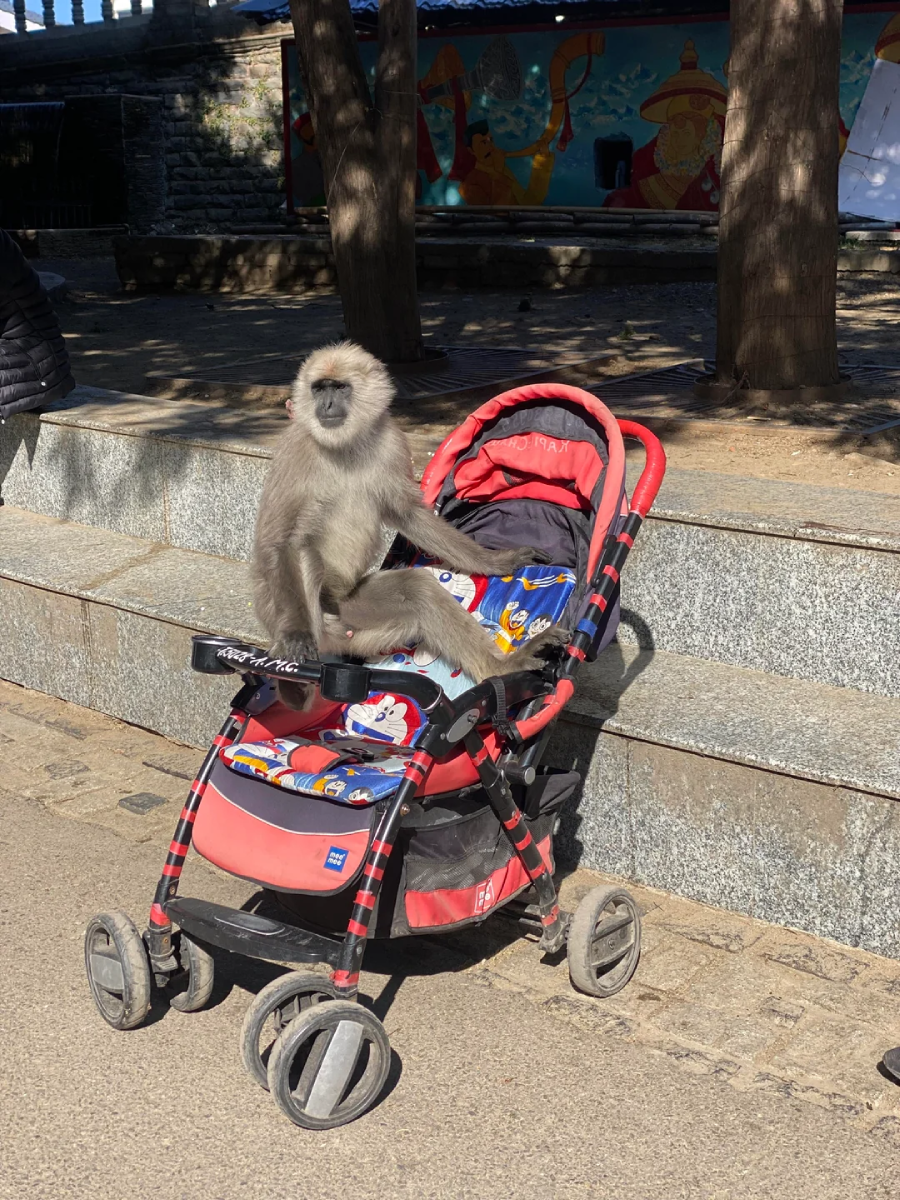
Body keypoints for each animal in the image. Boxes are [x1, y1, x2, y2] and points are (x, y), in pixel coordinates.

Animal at [251, 341, 567, 706]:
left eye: (339, 388)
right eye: (319, 389)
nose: (326, 404)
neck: (345, 445)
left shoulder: (391, 441)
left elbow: (408, 513)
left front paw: (499, 561)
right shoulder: (295, 448)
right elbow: (278, 541)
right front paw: (294, 635)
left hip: (356, 620)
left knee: (418, 589)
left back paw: (502, 668)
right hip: (296, 612)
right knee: (304, 552)